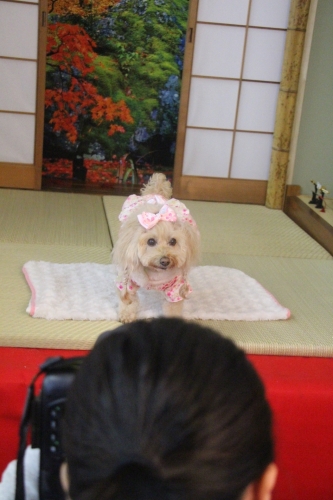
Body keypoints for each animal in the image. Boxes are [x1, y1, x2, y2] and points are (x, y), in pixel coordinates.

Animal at [111, 175, 200, 324]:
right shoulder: (128, 282)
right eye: (151, 241)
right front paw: (126, 316)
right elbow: (128, 301)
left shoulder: (175, 288)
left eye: (173, 241)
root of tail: (156, 193)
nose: (165, 261)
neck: (156, 274)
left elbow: (172, 307)